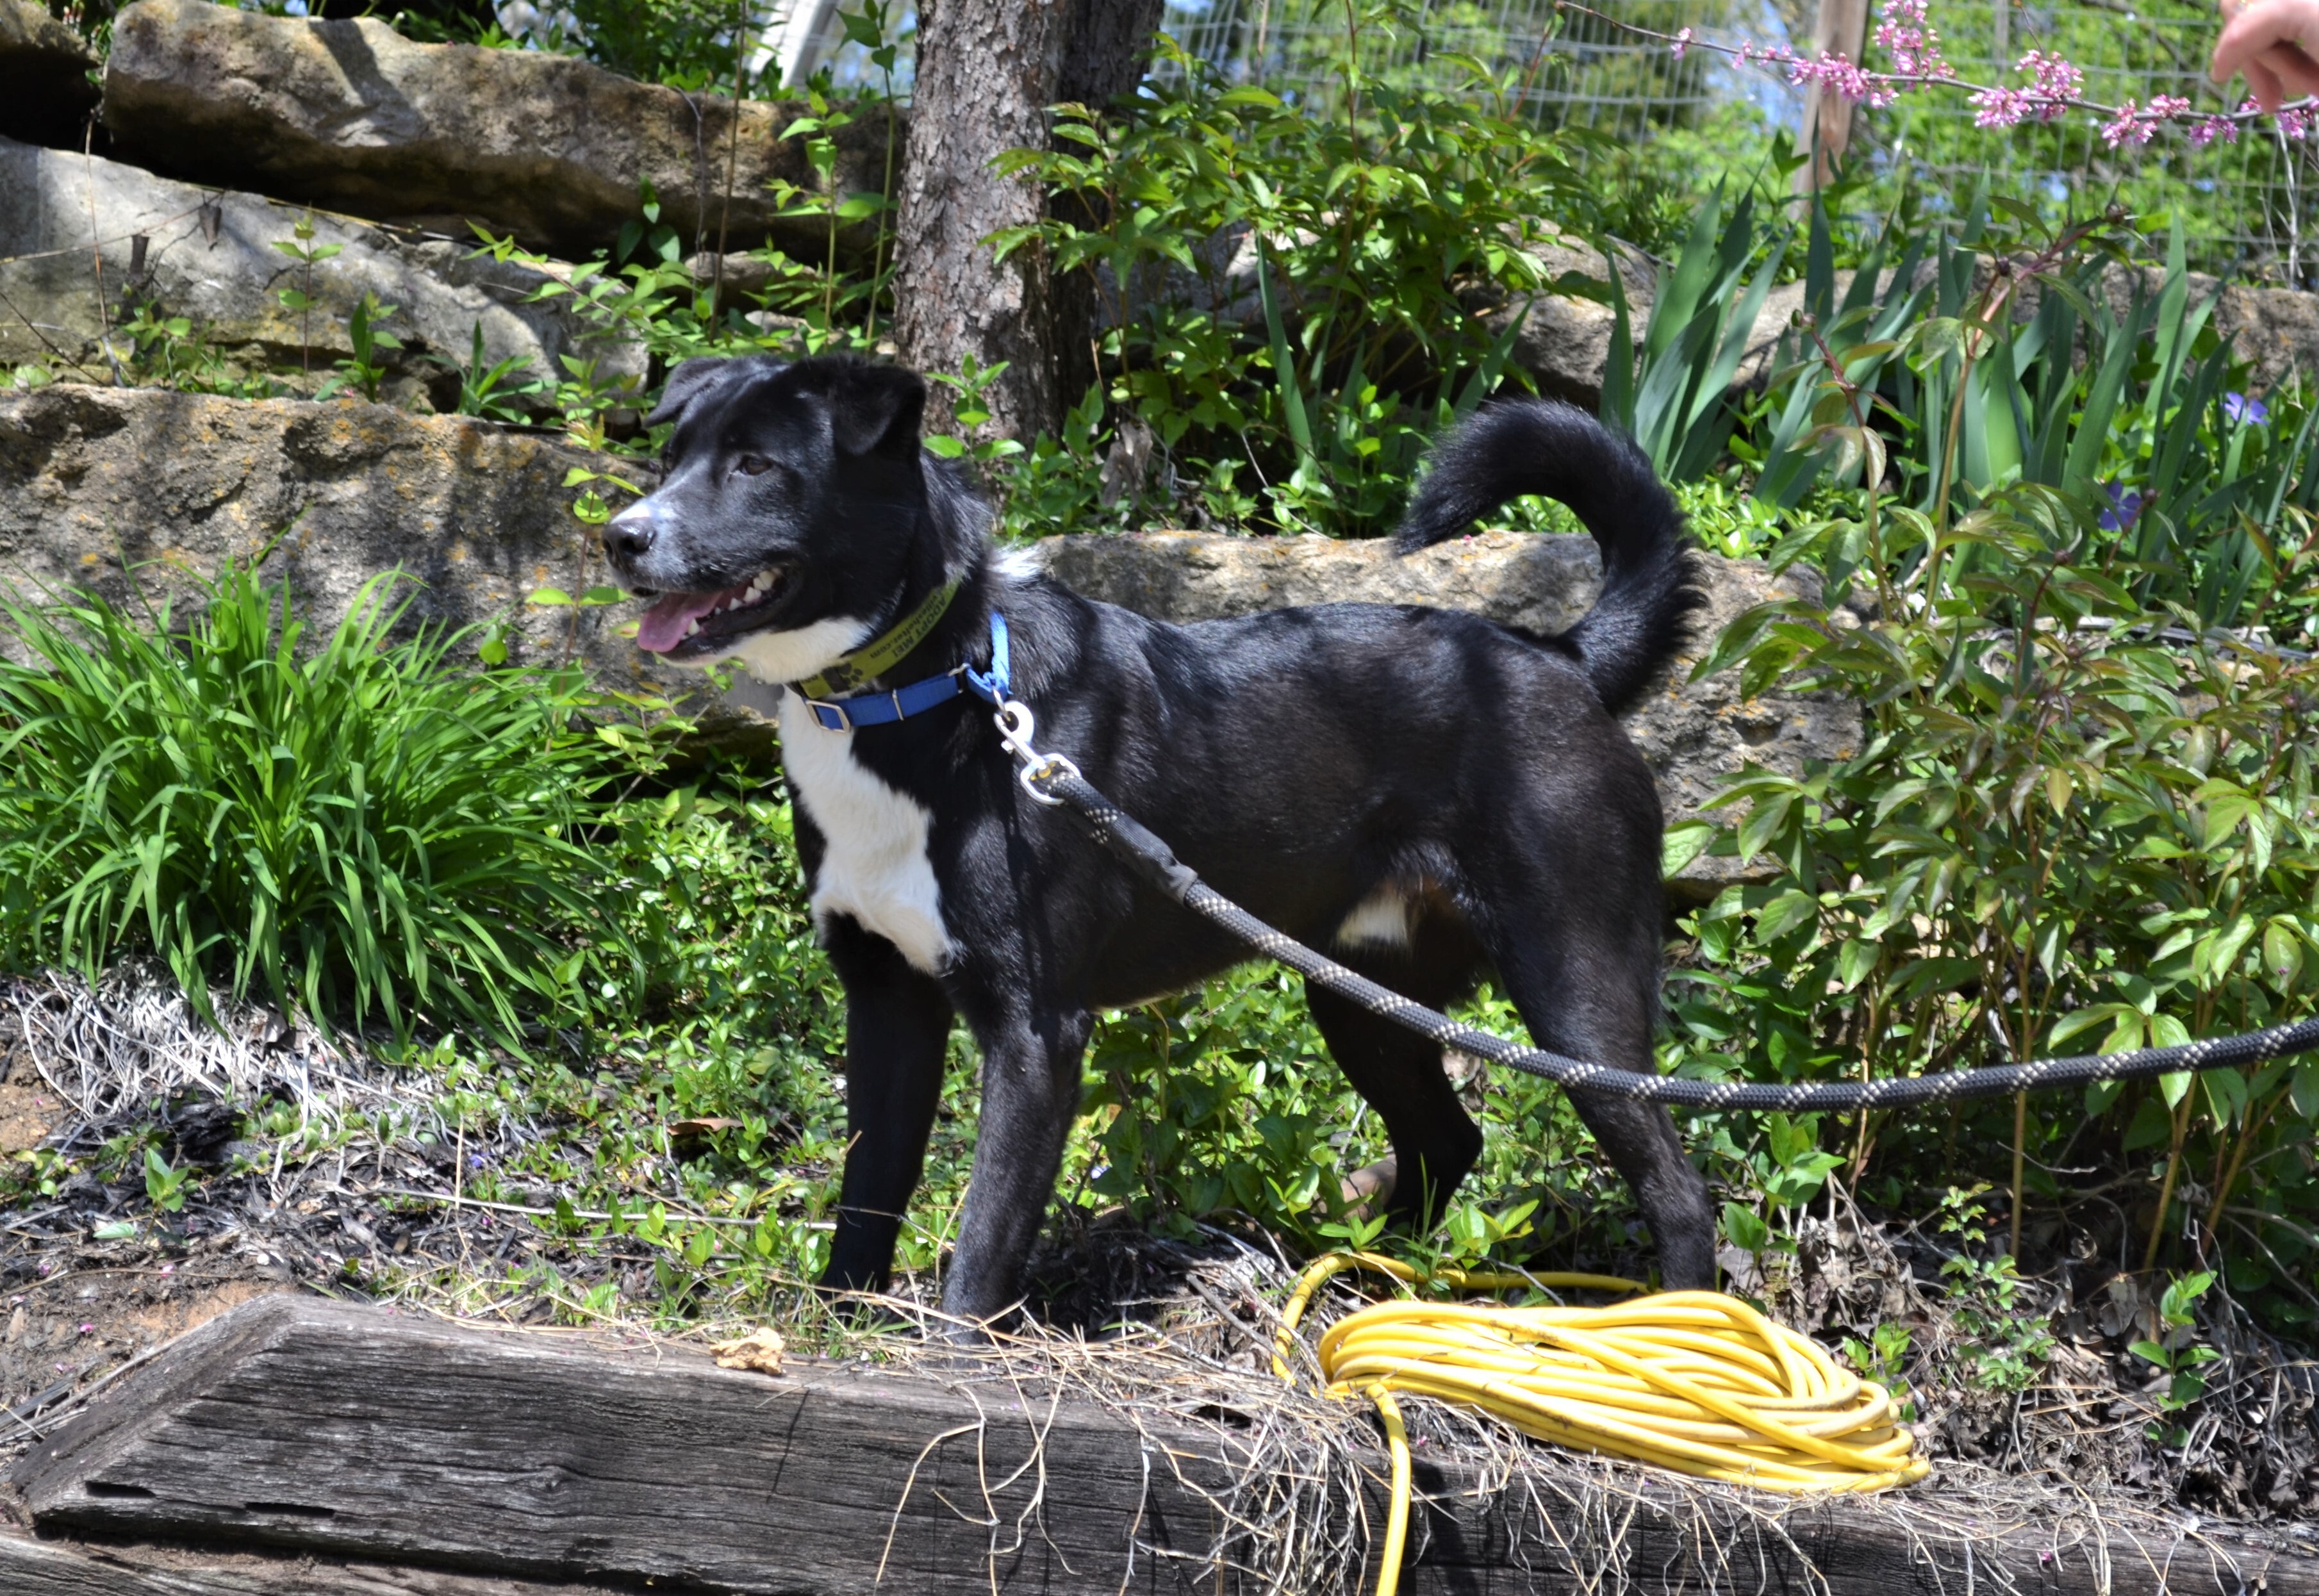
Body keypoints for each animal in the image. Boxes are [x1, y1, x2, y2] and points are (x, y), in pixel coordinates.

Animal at [598, 354, 1725, 1317]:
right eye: (673, 456)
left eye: (755, 464)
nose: (620, 535)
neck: (922, 689)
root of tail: (1560, 656)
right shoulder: (886, 998)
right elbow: (868, 1191)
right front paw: (840, 1329)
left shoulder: (1036, 1031)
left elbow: (984, 1232)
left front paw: (949, 1354)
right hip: (1357, 990)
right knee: (1446, 1138)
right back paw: (1378, 1288)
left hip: (1572, 988)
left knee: (1677, 1188)